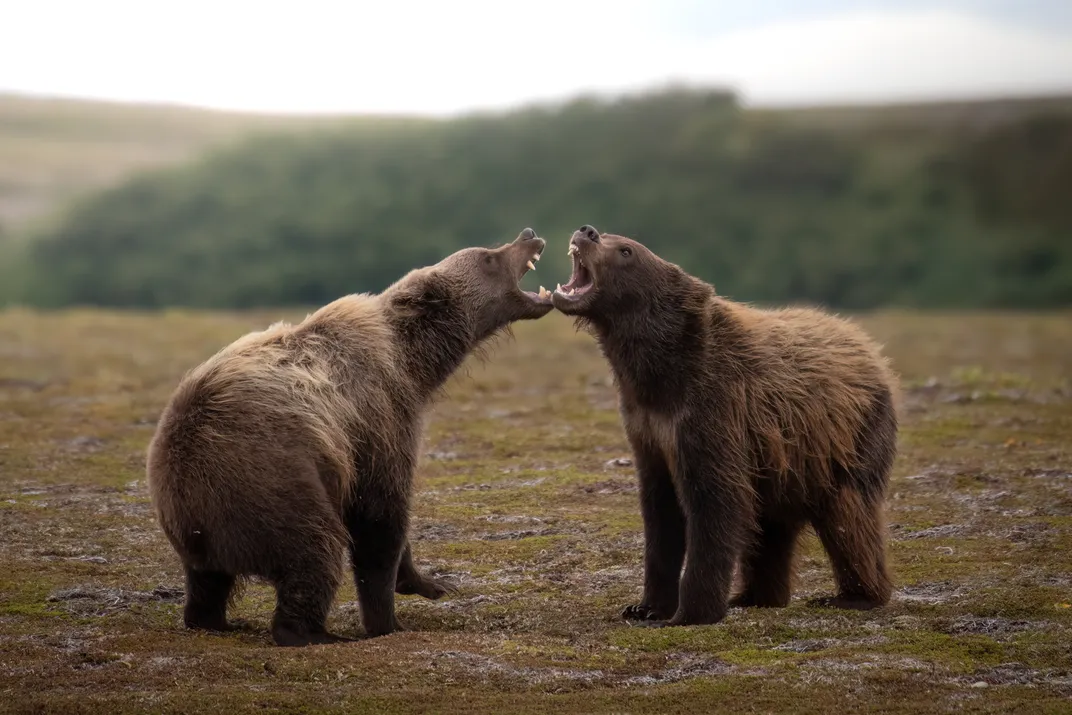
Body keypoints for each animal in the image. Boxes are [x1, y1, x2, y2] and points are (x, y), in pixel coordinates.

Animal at [146, 230, 553, 647]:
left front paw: (430, 582)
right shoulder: (378, 420)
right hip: (264, 485)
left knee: (208, 584)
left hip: (195, 526)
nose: (528, 235)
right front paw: (386, 621)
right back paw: (316, 632)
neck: (413, 364)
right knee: (315, 550)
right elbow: (380, 519)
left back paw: (217, 620)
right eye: (489, 258)